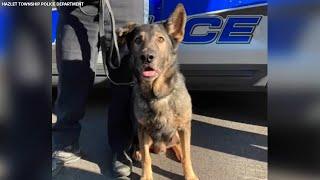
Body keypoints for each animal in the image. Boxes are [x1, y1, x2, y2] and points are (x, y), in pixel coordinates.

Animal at [117, 4, 198, 180]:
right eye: (137, 40)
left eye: (161, 39)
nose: (147, 57)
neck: (158, 95)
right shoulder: (142, 129)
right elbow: (147, 158)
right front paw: (146, 175)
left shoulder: (184, 127)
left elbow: (188, 155)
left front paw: (189, 174)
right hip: (138, 132)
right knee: (141, 148)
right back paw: (137, 152)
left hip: (175, 134)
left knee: (177, 145)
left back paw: (178, 151)